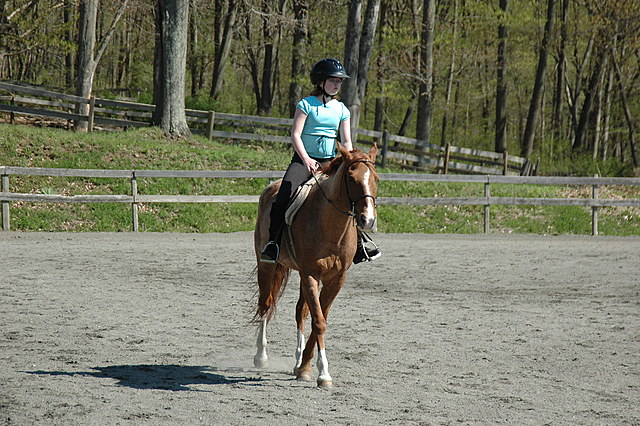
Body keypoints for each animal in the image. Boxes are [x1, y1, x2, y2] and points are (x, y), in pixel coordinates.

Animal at [253, 143, 379, 388]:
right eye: (351, 178)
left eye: (376, 178)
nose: (368, 220)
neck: (331, 227)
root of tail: (271, 187)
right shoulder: (311, 274)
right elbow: (319, 321)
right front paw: (323, 374)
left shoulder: (336, 279)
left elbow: (319, 317)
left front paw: (305, 367)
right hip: (267, 266)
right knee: (266, 304)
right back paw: (261, 356)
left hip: (301, 274)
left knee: (300, 312)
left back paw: (297, 360)